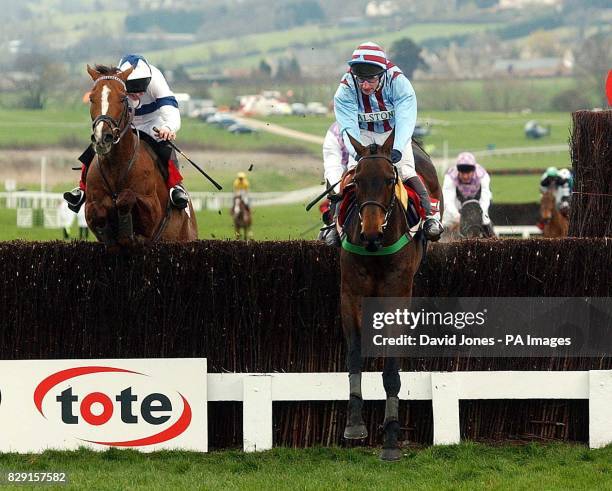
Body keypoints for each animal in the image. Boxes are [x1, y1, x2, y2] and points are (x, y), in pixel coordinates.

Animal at [84, 65, 196, 248]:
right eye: (91, 98)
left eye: (122, 98)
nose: (103, 137)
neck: (116, 165)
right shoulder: (90, 205)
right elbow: (97, 211)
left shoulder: (152, 209)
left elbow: (126, 197)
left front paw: (126, 232)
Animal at [342, 131, 442, 462]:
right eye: (357, 180)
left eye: (389, 180)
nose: (371, 232)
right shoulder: (350, 293)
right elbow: (354, 355)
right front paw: (355, 424)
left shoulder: (397, 295)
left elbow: (391, 368)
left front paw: (391, 438)